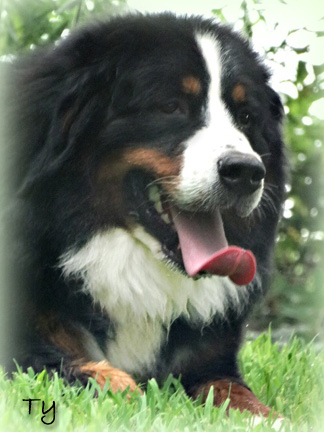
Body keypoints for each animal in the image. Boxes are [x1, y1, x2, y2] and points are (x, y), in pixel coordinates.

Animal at [6, 13, 284, 416]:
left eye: (246, 116)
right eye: (171, 106)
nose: (246, 171)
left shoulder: (210, 362)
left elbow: (238, 393)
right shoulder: (28, 345)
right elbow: (99, 376)